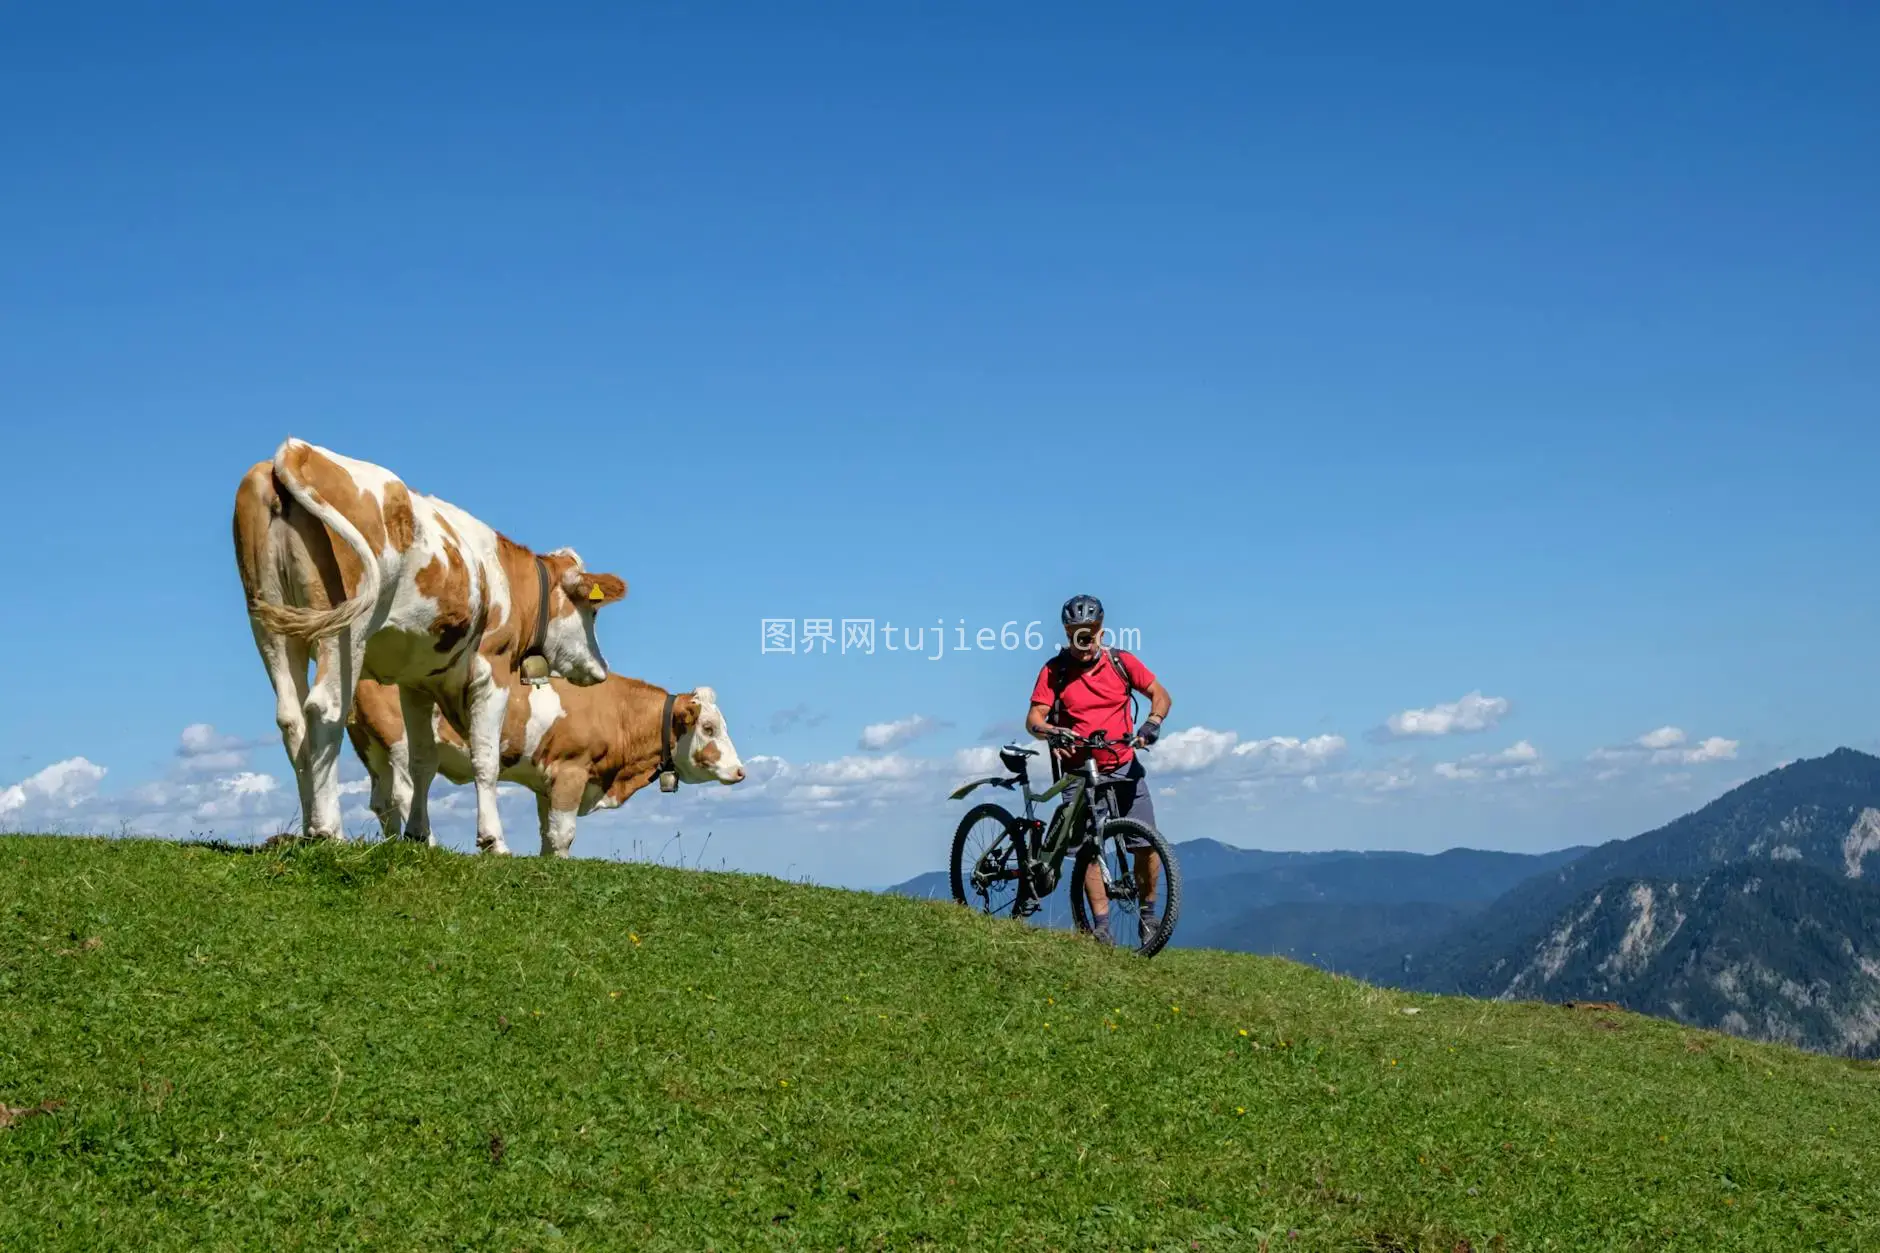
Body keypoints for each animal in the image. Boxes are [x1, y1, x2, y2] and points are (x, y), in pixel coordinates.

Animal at [231, 436, 627, 850]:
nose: (601, 669)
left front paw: (418, 834)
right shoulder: (492, 670)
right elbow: (486, 758)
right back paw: (329, 829)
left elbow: (422, 760)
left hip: (269, 622)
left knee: (292, 718)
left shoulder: (416, 683)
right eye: (593, 612)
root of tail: (299, 449)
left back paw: (310, 826)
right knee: (324, 709)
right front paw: (493, 841)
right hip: (344, 632)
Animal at [349, 673, 744, 857]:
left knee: (382, 801)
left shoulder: (547, 781)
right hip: (401, 743)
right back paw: (428, 843)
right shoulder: (572, 770)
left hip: (372, 749)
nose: (741, 771)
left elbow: (549, 833)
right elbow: (565, 833)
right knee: (407, 791)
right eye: (709, 728)